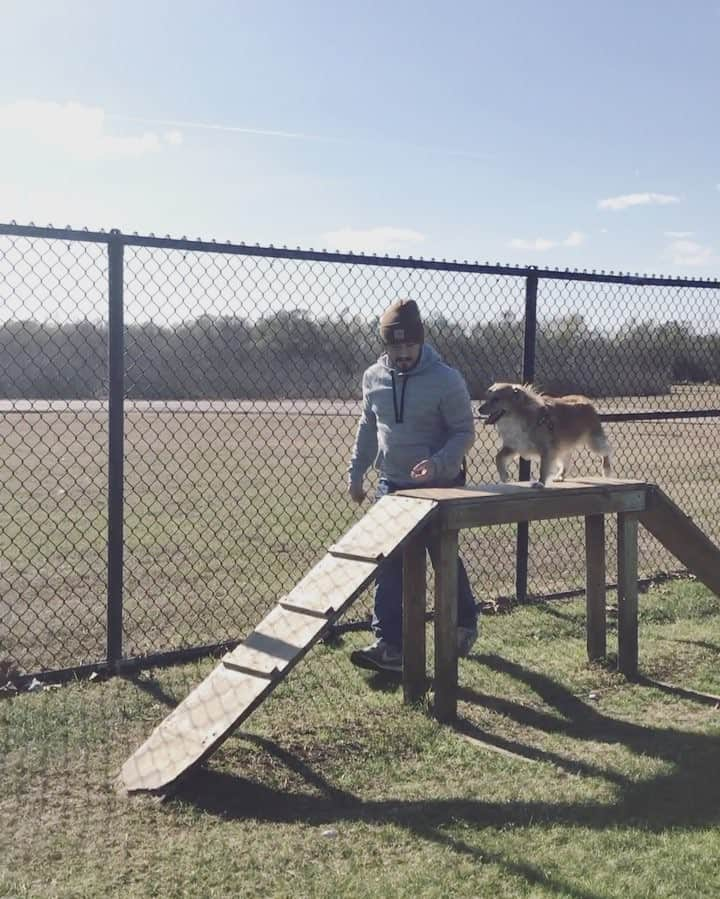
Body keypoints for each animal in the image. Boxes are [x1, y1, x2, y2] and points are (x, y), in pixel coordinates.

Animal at [478, 384, 612, 488]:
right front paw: (504, 476)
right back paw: (560, 476)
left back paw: (606, 468)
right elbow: (498, 457)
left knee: (606, 451)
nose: (479, 409)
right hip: (561, 448)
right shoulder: (515, 446)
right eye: (487, 398)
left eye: (496, 399)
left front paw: (540, 483)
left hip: (593, 442)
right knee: (566, 460)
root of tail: (586, 400)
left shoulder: (547, 450)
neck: (516, 417)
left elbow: (543, 468)